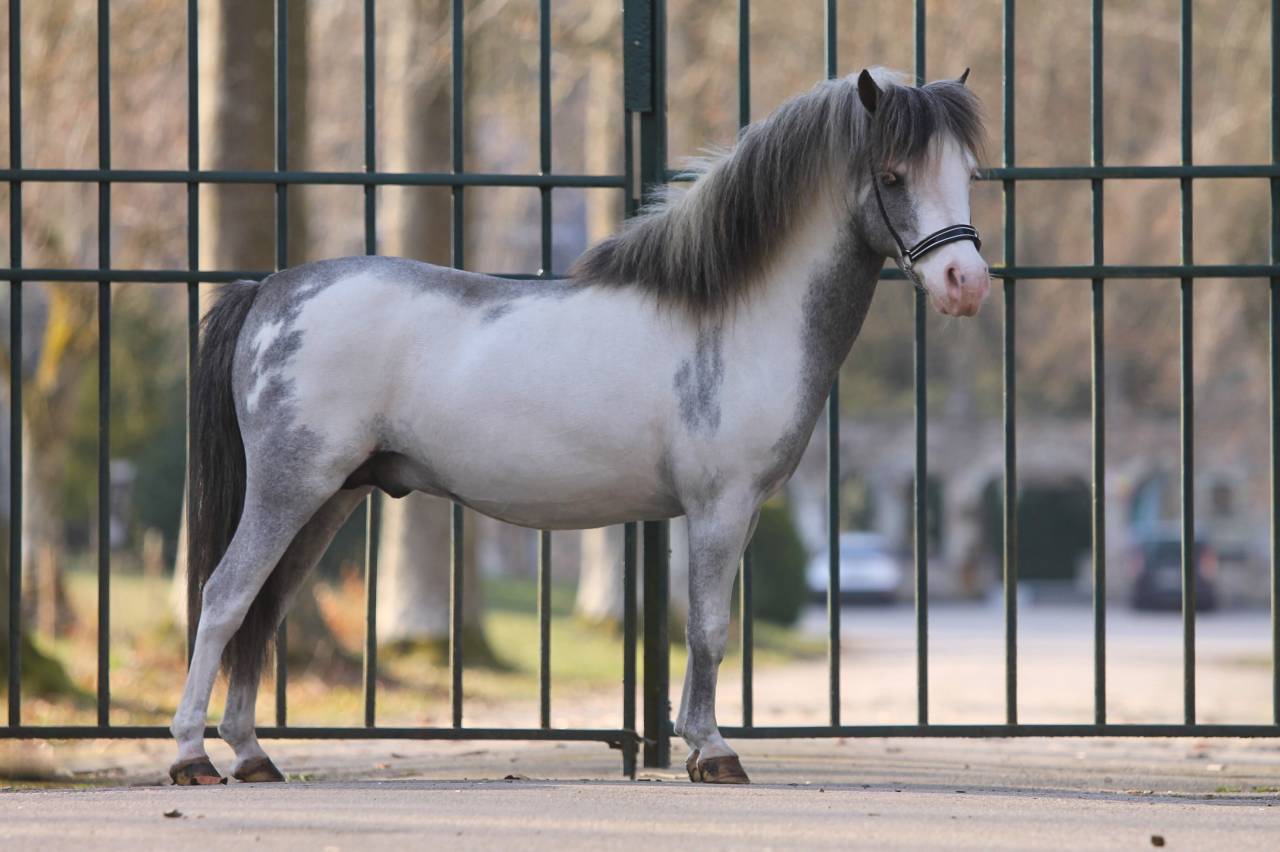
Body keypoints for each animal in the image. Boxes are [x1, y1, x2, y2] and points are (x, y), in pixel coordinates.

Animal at [169, 66, 990, 786]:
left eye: (969, 174)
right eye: (892, 175)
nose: (967, 284)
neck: (731, 318)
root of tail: (271, 290)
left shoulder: (735, 511)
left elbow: (702, 625)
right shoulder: (719, 506)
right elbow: (709, 628)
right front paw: (713, 751)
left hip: (330, 497)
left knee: (265, 609)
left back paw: (252, 755)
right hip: (290, 489)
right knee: (226, 597)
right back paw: (191, 757)